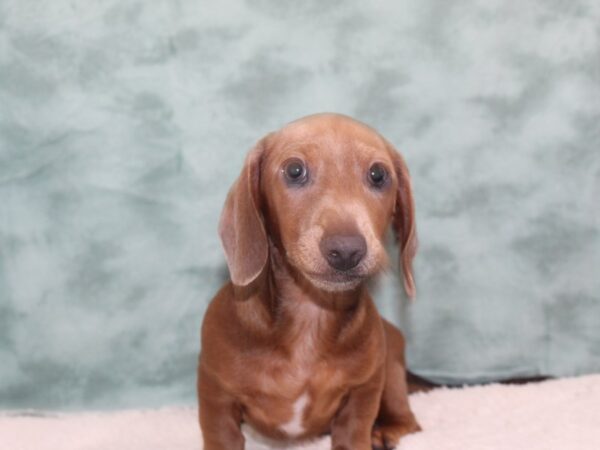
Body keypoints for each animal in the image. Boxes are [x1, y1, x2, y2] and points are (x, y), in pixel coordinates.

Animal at [199, 113, 420, 450]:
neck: (310, 314)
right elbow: (222, 435)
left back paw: (386, 430)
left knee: (408, 420)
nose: (346, 251)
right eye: (294, 170)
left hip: (392, 369)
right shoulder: (215, 393)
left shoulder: (363, 391)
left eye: (378, 174)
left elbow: (354, 433)